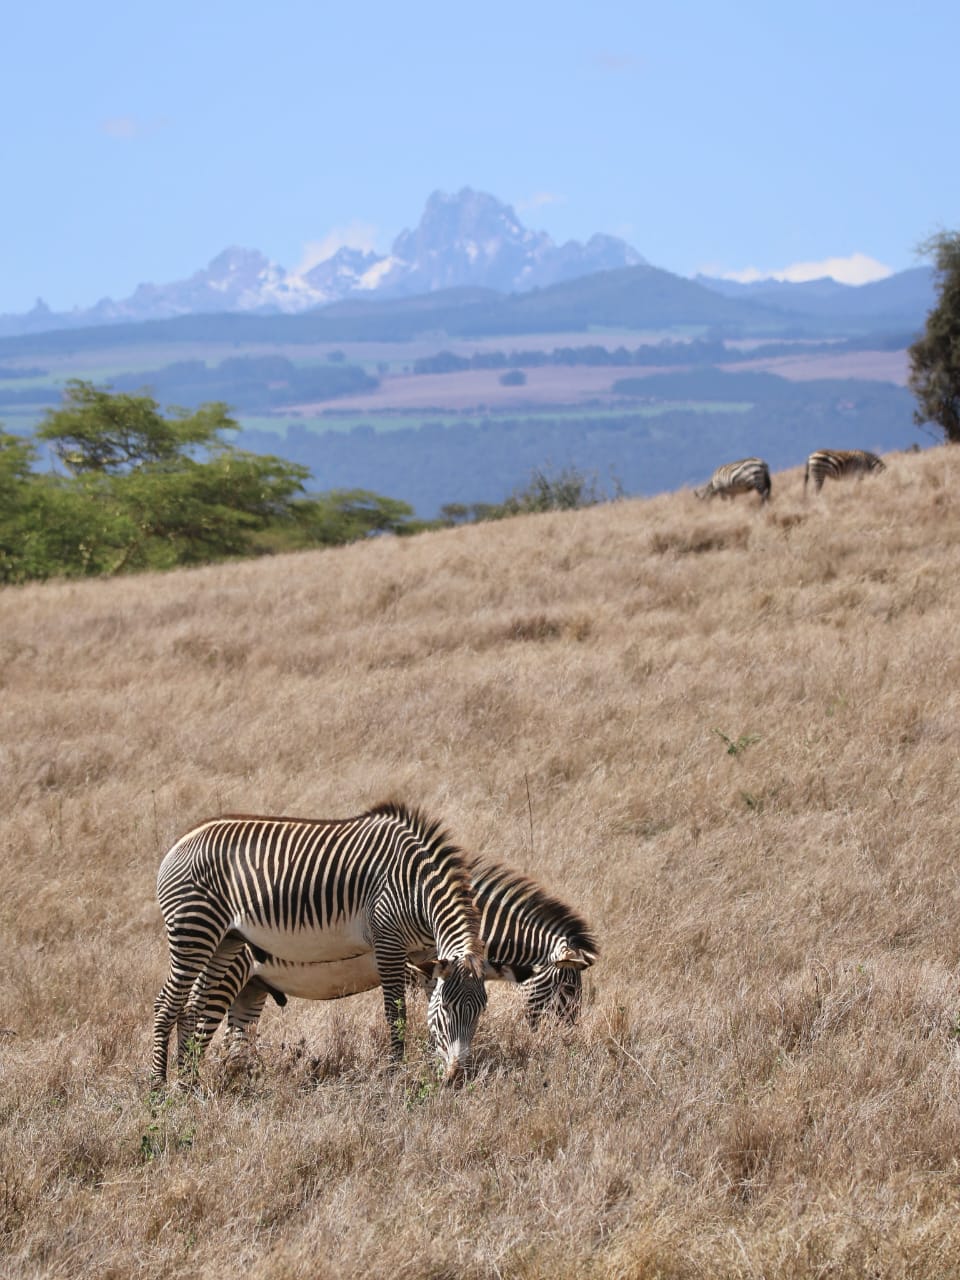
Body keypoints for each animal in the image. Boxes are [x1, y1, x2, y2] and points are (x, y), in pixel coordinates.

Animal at [152, 802, 487, 1087]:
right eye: (448, 1008)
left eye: (480, 1010)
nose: (459, 1077)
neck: (415, 887)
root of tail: (180, 842)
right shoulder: (388, 942)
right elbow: (396, 1013)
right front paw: (396, 1071)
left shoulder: (426, 953)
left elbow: (426, 1007)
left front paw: (433, 1066)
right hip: (194, 930)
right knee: (167, 1003)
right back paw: (160, 1087)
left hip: (226, 941)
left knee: (194, 1007)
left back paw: (188, 1083)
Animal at [184, 856, 598, 1068]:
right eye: (566, 987)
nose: (568, 1042)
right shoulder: (417, 971)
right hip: (230, 975)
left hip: (252, 988)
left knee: (233, 1039)